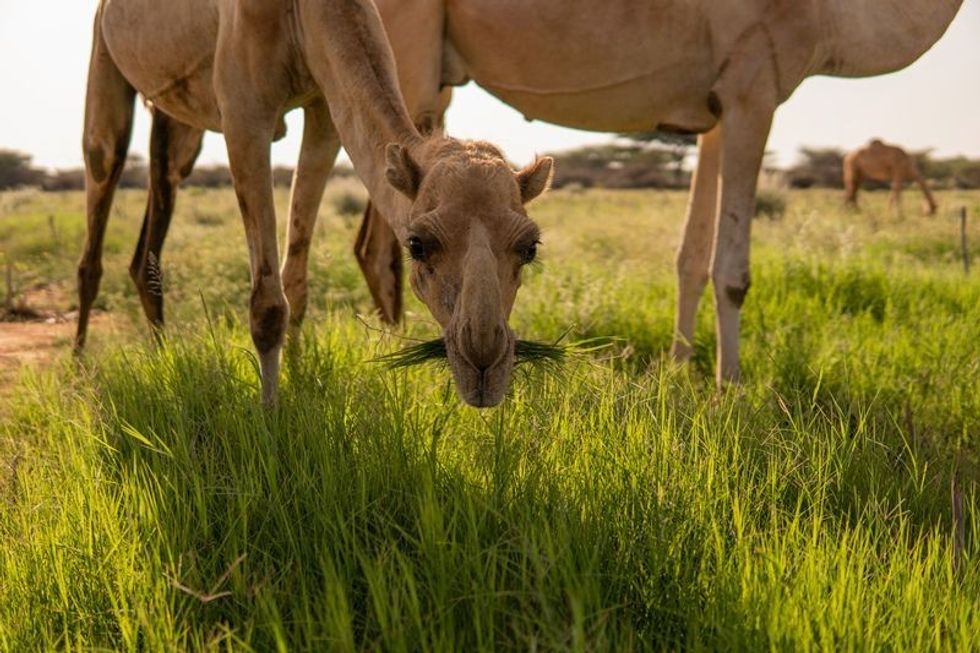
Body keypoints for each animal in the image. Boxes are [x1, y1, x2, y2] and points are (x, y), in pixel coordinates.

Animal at [76, 0, 552, 408]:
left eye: (529, 247)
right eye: (417, 244)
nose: (484, 363)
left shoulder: (324, 109)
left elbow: (297, 285)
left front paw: (299, 380)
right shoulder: (244, 113)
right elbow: (268, 306)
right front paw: (270, 421)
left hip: (176, 119)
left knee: (161, 195)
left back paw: (161, 355)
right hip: (103, 55)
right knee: (102, 170)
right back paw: (80, 368)